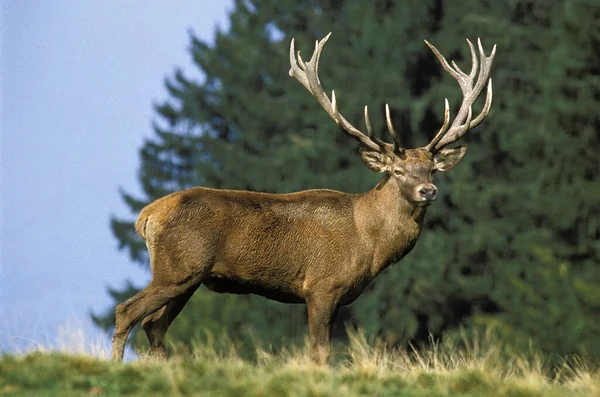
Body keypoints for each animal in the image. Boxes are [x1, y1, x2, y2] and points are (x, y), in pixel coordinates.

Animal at [112, 32, 496, 364]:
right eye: (397, 172)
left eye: (432, 169)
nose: (428, 191)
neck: (368, 242)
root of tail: (145, 217)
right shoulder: (321, 286)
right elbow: (320, 352)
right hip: (177, 268)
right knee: (127, 311)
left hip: (188, 278)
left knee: (154, 325)